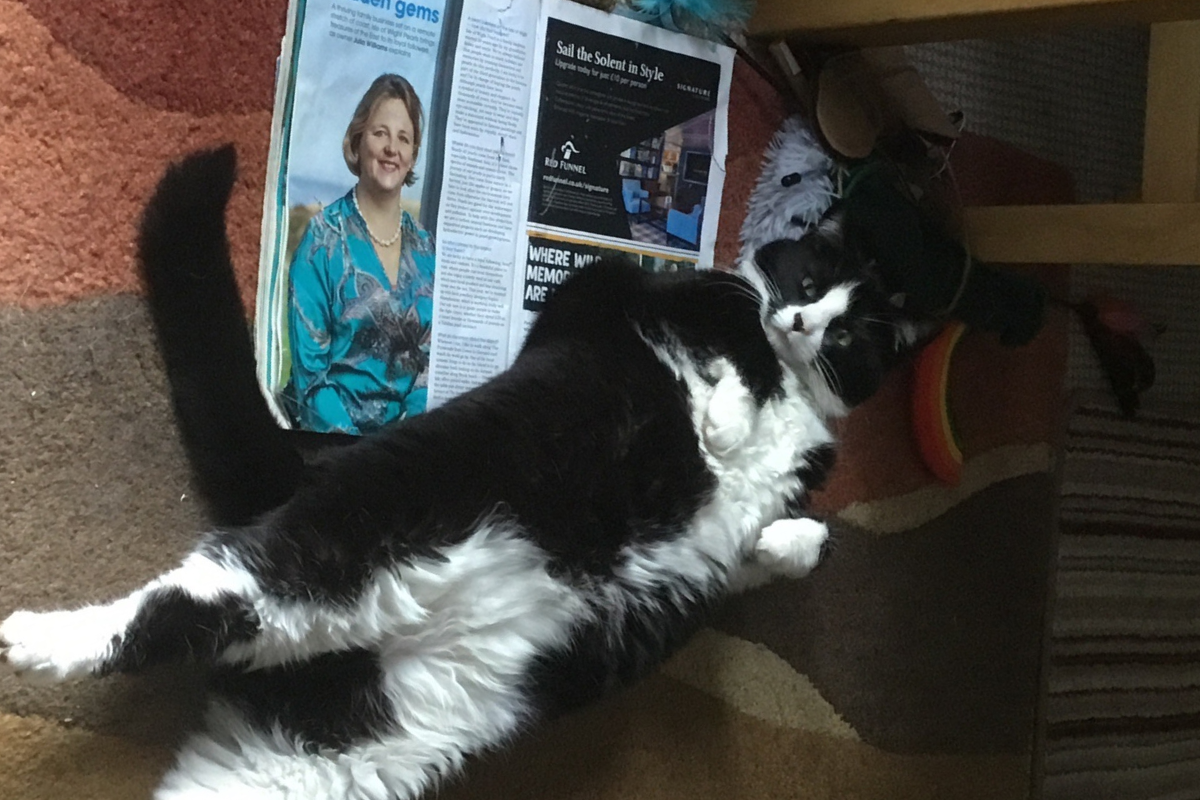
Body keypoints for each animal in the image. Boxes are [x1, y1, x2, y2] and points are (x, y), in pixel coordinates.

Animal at [0, 149, 907, 800]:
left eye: (849, 333)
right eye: (805, 279)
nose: (803, 324)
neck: (796, 386)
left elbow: (787, 546)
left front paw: (787, 537)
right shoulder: (601, 294)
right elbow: (724, 344)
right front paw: (726, 415)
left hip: (320, 746)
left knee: (214, 619)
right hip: (374, 518)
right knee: (199, 592)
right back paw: (32, 638)